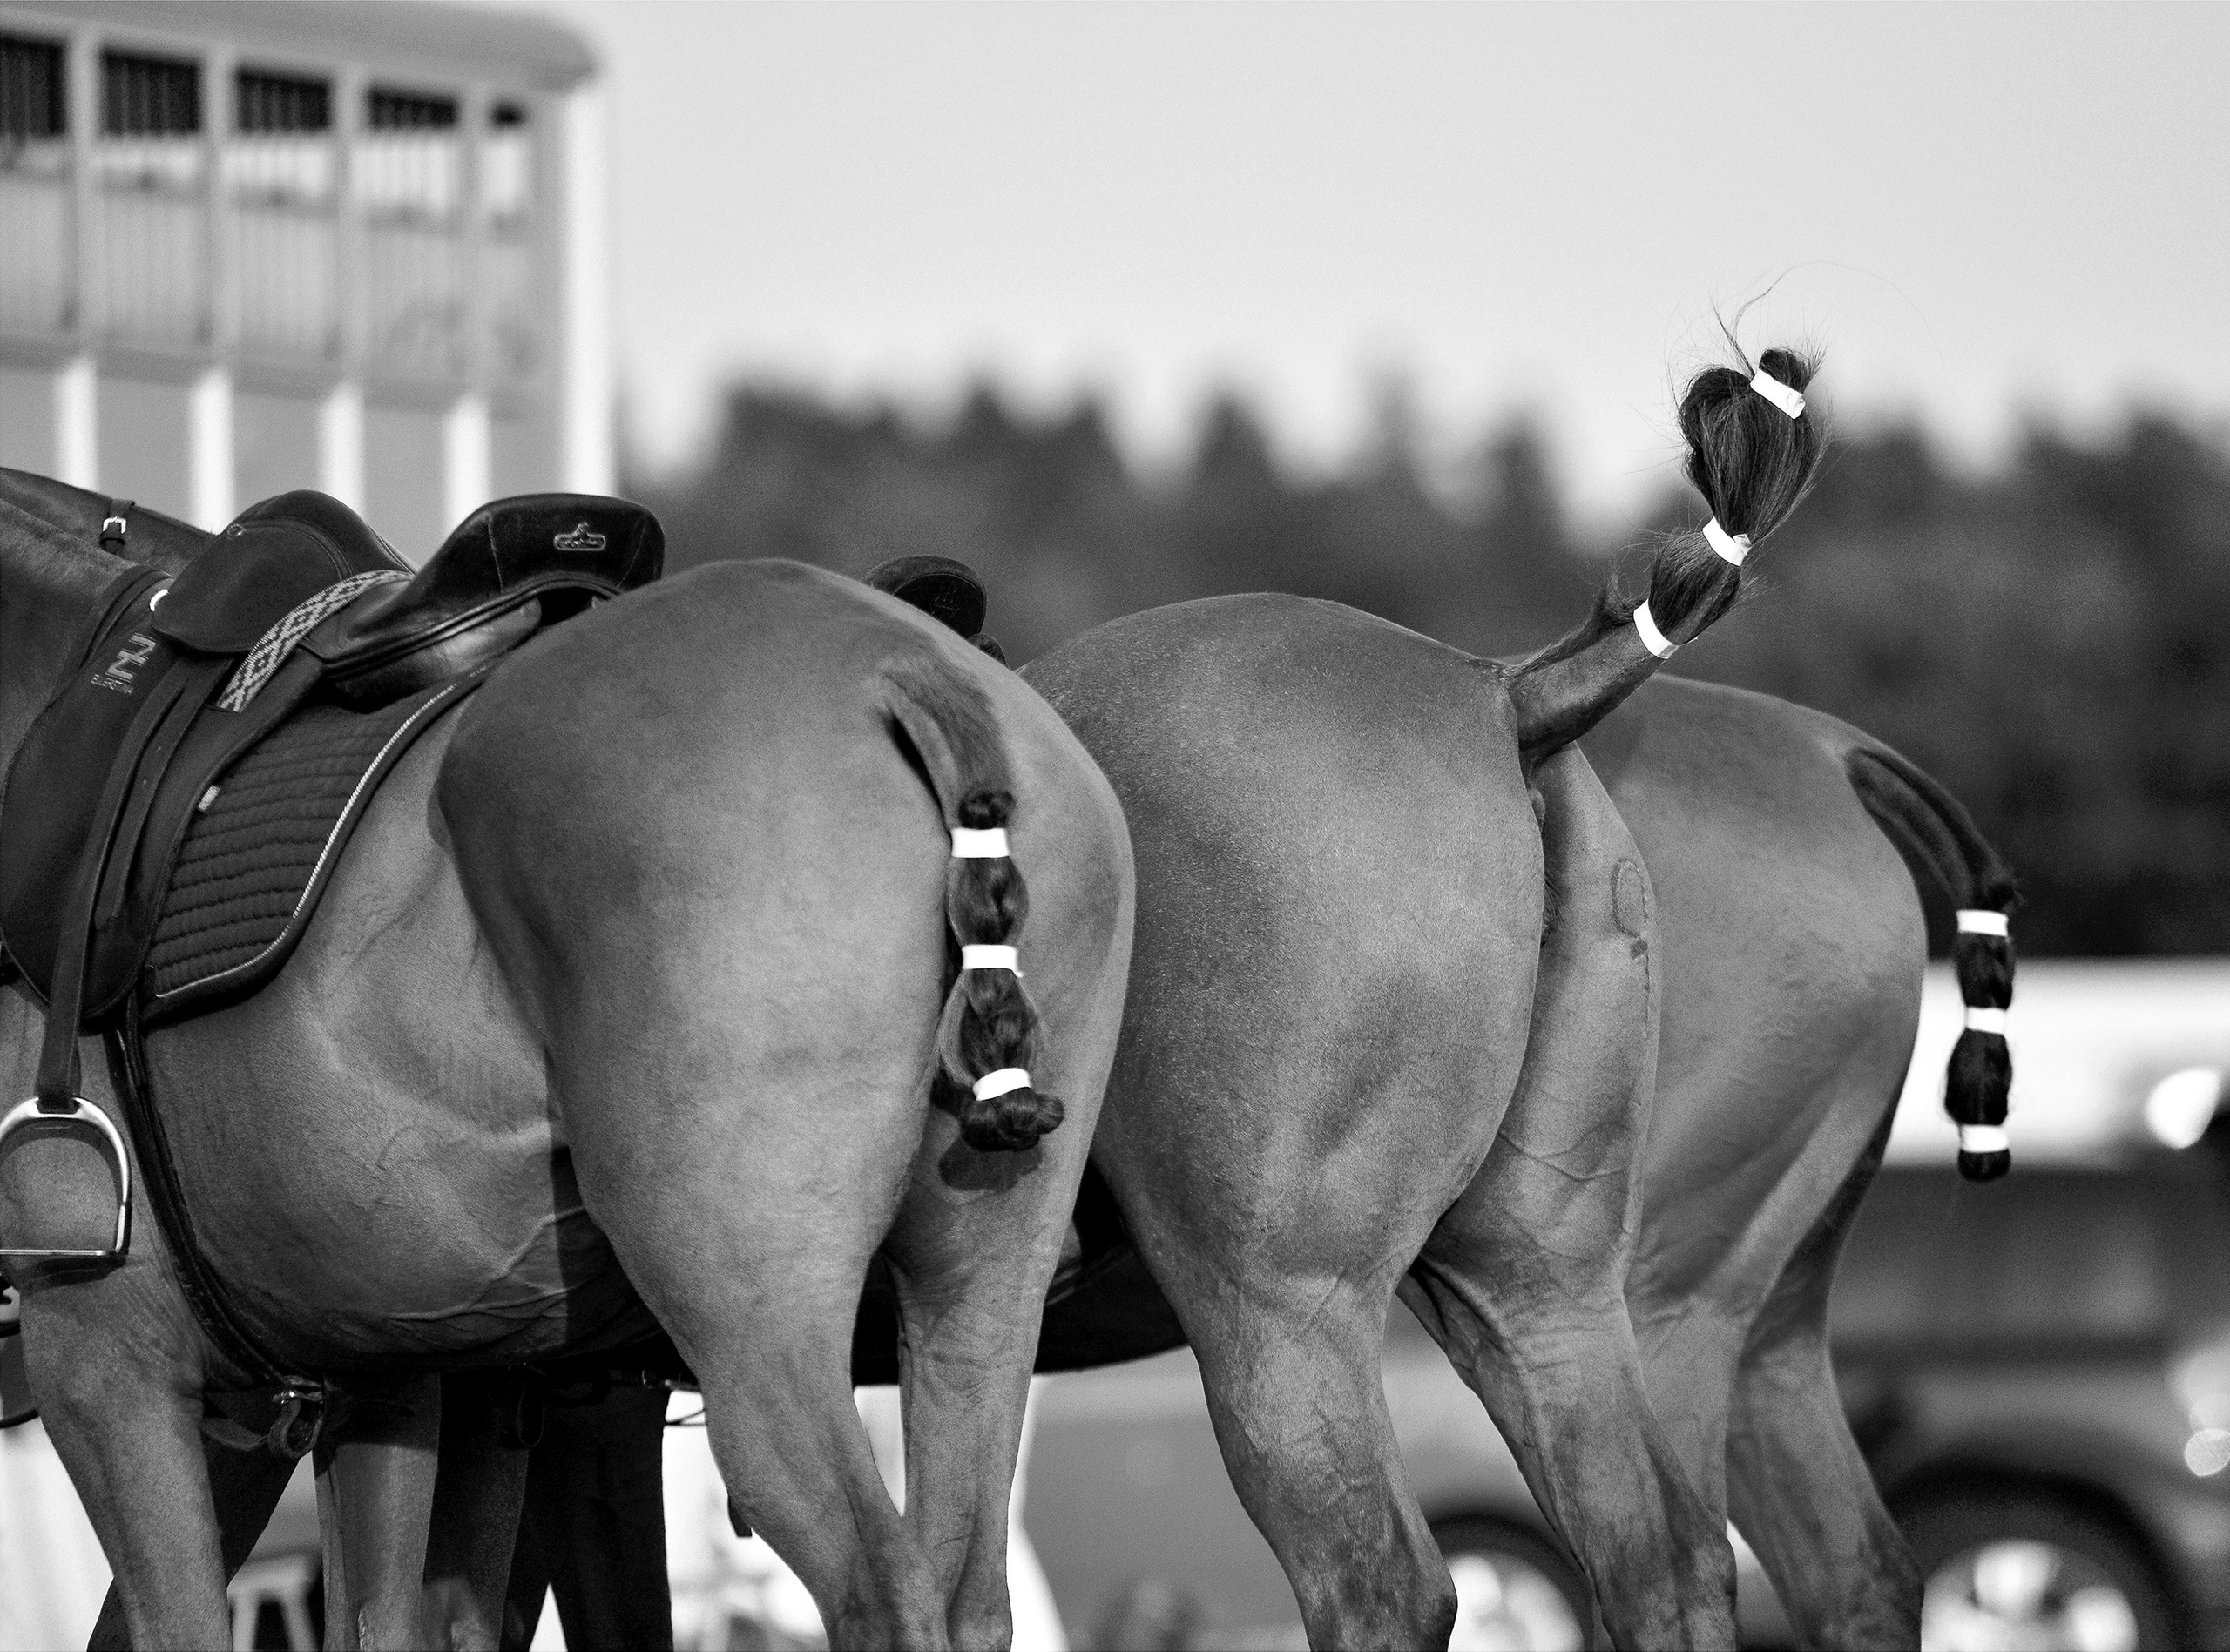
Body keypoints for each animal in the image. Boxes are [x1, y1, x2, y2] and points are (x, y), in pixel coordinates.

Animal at [0, 477, 1135, 1651]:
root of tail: (904, 670)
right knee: (969, 1593)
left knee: (882, 1590)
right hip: (977, 1295)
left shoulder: (108, 1357)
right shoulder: (390, 1369)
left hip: (753, 1322)